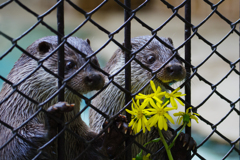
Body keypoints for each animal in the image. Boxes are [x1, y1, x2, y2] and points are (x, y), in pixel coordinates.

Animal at [0, 36, 130, 160]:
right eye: (69, 64)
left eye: (95, 61)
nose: (95, 77)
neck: (17, 110)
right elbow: (15, 149)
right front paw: (51, 122)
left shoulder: (76, 137)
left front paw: (113, 135)